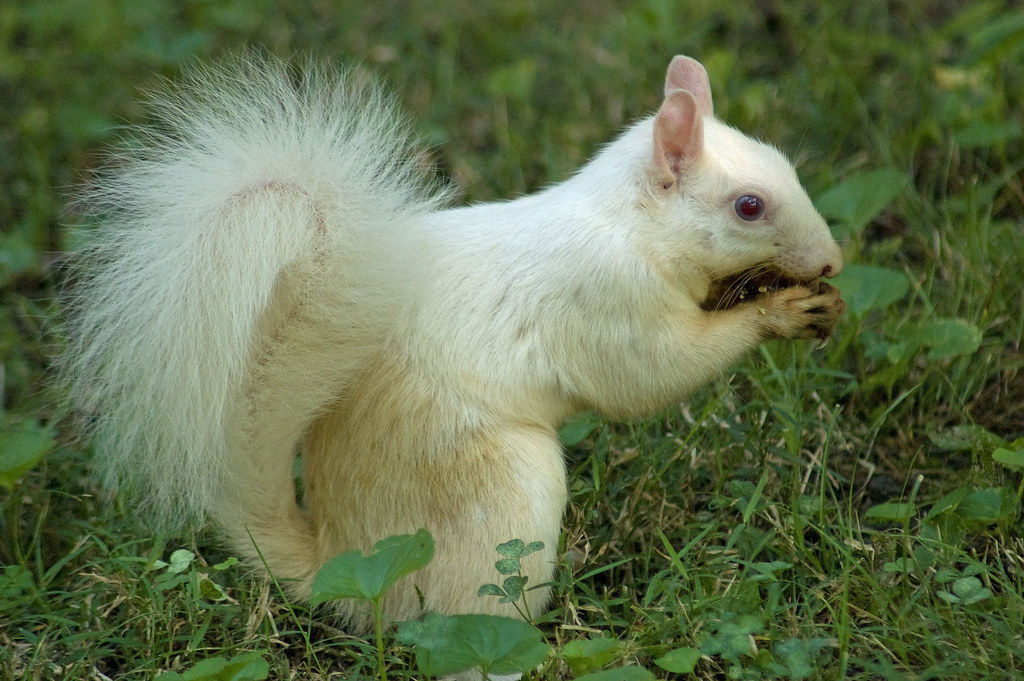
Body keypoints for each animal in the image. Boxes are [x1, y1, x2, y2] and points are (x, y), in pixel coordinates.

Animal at [62, 54, 845, 633]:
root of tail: (342, 566)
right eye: (748, 206)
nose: (834, 261)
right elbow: (651, 374)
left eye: (784, 161)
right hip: (500, 496)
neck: (627, 222)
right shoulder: (606, 300)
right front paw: (778, 312)